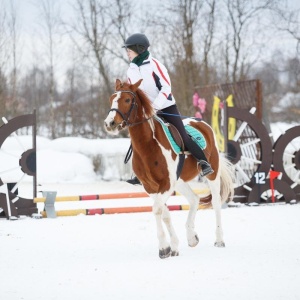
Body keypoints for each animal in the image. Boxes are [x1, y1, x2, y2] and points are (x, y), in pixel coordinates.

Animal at [103, 78, 234, 258]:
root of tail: (202, 123)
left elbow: (157, 210)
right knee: (194, 199)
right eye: (111, 99)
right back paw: (191, 237)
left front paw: (164, 247)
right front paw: (173, 246)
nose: (110, 124)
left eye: (128, 100)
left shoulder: (166, 184)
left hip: (211, 174)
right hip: (180, 182)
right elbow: (163, 212)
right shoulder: (151, 187)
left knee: (215, 202)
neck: (147, 145)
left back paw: (219, 240)